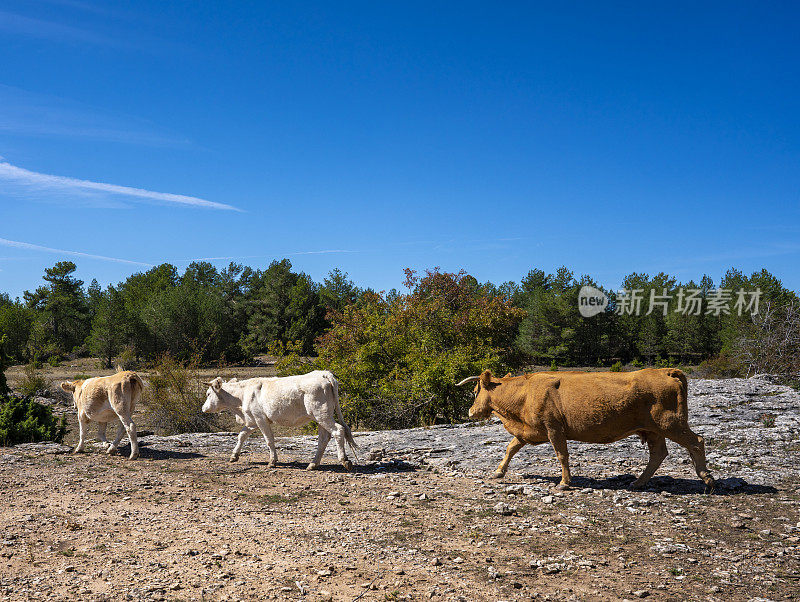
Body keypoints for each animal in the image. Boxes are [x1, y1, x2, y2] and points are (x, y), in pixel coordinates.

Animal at [202, 370, 358, 468]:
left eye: (208, 393)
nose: (203, 408)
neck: (242, 396)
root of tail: (324, 373)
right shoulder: (252, 420)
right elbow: (241, 435)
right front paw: (234, 456)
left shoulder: (260, 419)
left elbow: (269, 440)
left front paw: (272, 461)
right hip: (321, 417)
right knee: (324, 438)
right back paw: (313, 464)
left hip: (322, 414)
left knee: (338, 431)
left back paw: (344, 460)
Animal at [460, 368, 716, 490]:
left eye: (474, 391)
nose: (471, 412)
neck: (525, 392)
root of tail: (665, 371)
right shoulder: (529, 431)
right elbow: (511, 448)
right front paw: (498, 472)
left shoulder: (554, 429)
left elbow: (562, 455)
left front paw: (565, 482)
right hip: (653, 430)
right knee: (658, 454)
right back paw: (637, 482)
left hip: (671, 424)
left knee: (697, 442)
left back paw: (707, 478)